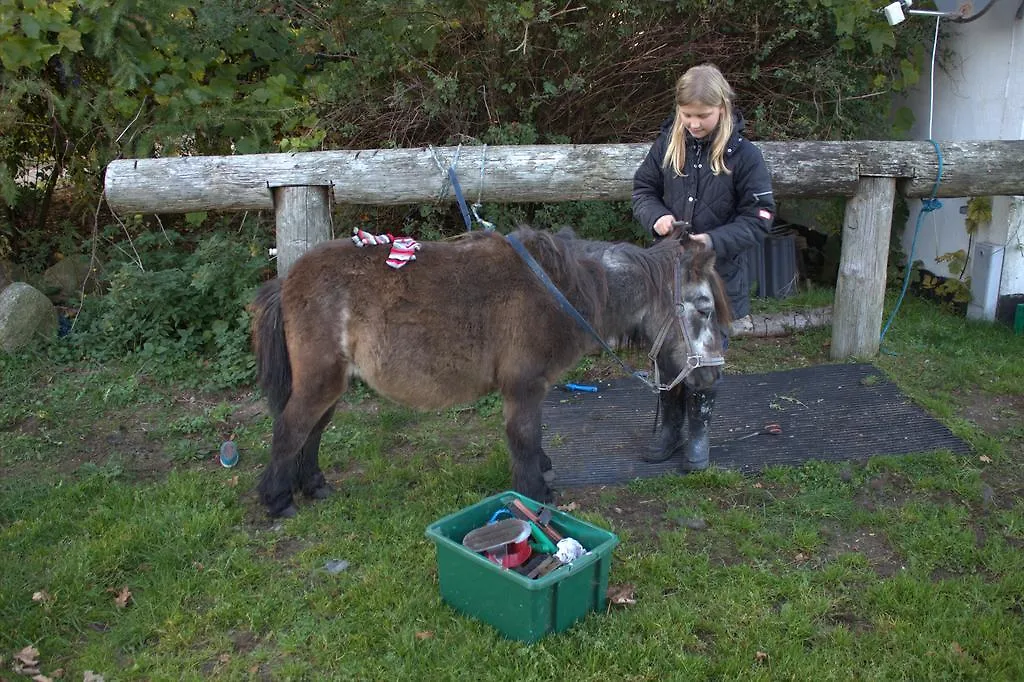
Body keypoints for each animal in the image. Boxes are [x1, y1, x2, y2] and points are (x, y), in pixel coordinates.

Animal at [249, 224, 729, 516]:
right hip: (321, 379)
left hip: (331, 381)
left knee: (312, 430)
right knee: (291, 428)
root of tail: (287, 279)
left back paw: (313, 485)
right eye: (704, 309)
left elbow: (531, 438)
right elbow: (524, 437)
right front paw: (535, 494)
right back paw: (277, 500)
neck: (561, 289)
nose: (712, 377)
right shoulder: (524, 386)